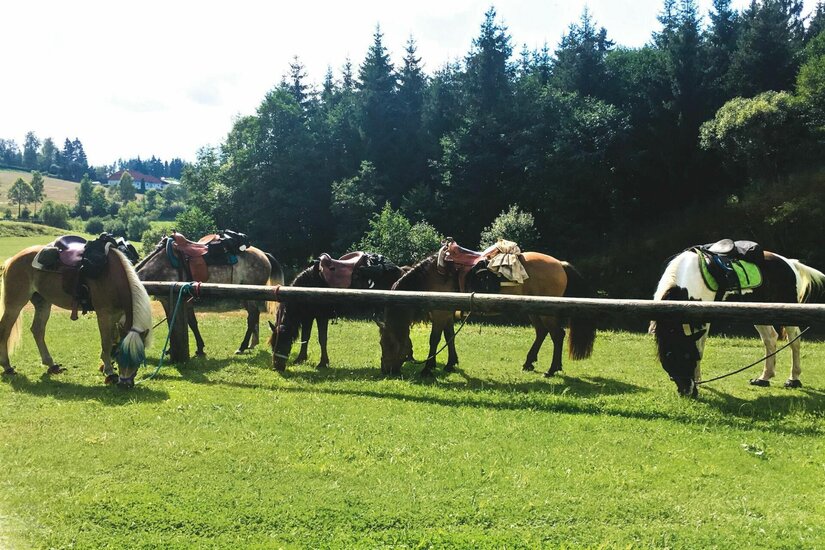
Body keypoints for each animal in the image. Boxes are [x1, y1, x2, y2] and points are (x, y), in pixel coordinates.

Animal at [0, 241, 153, 387]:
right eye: (121, 354)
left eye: (140, 357)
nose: (125, 385)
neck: (112, 276)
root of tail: (12, 260)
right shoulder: (104, 314)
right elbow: (106, 342)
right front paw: (109, 372)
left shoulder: (117, 314)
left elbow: (113, 340)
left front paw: (106, 365)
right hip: (15, 304)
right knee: (5, 330)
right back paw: (7, 366)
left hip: (43, 303)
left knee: (37, 330)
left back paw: (51, 365)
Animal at [135, 235, 284, 356]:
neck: (161, 265)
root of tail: (263, 254)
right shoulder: (168, 300)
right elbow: (173, 322)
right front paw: (172, 349)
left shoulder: (181, 299)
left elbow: (190, 323)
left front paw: (199, 348)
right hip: (245, 294)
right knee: (253, 315)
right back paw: (251, 344)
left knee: (252, 316)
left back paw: (242, 347)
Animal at [268, 253, 409, 372]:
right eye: (272, 344)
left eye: (283, 342)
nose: (277, 367)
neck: (309, 285)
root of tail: (400, 270)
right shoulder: (308, 317)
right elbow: (305, 338)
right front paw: (300, 359)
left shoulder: (321, 317)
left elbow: (322, 339)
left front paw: (323, 363)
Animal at [378, 246, 597, 377]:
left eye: (387, 343)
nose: (386, 370)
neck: (433, 274)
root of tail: (560, 263)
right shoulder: (447, 312)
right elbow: (449, 337)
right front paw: (450, 363)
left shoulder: (440, 312)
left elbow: (435, 339)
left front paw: (428, 368)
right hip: (534, 309)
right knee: (542, 333)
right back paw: (529, 363)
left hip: (546, 312)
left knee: (557, 335)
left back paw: (551, 369)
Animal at [651, 240, 825, 397]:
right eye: (669, 356)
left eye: (687, 356)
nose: (687, 392)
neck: (688, 279)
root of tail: (790, 263)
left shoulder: (703, 319)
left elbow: (700, 347)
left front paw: (698, 380)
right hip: (760, 312)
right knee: (770, 338)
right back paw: (764, 378)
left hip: (788, 310)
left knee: (794, 339)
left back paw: (793, 379)